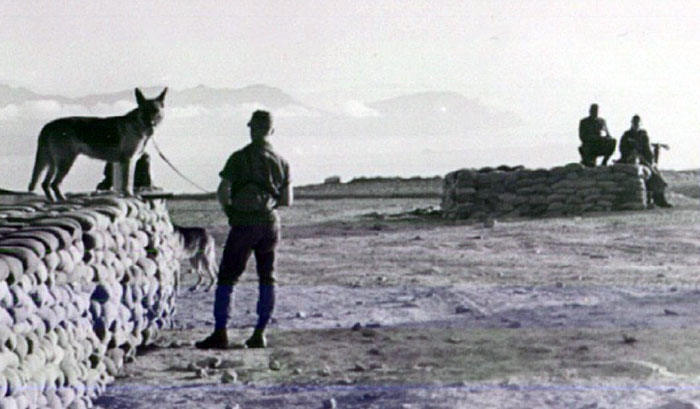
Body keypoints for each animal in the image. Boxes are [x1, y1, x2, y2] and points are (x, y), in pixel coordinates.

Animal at [28, 87, 167, 201]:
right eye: (145, 111)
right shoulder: (127, 161)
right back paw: (62, 199)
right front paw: (129, 195)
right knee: (54, 184)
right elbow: (127, 182)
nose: (151, 124)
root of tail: (49, 125)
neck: (137, 125)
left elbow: (121, 183)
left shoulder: (120, 163)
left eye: (156, 111)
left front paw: (123, 195)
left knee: (45, 184)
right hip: (65, 162)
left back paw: (53, 200)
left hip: (52, 163)